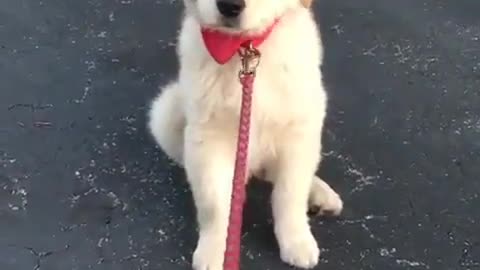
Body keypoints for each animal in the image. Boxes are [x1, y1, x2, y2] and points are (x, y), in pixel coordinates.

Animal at [148, 0, 344, 268]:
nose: (229, 6)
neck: (244, 50)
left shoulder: (299, 129)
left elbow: (289, 194)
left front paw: (296, 241)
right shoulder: (207, 137)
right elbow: (213, 203)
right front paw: (214, 250)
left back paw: (320, 194)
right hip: (166, 110)